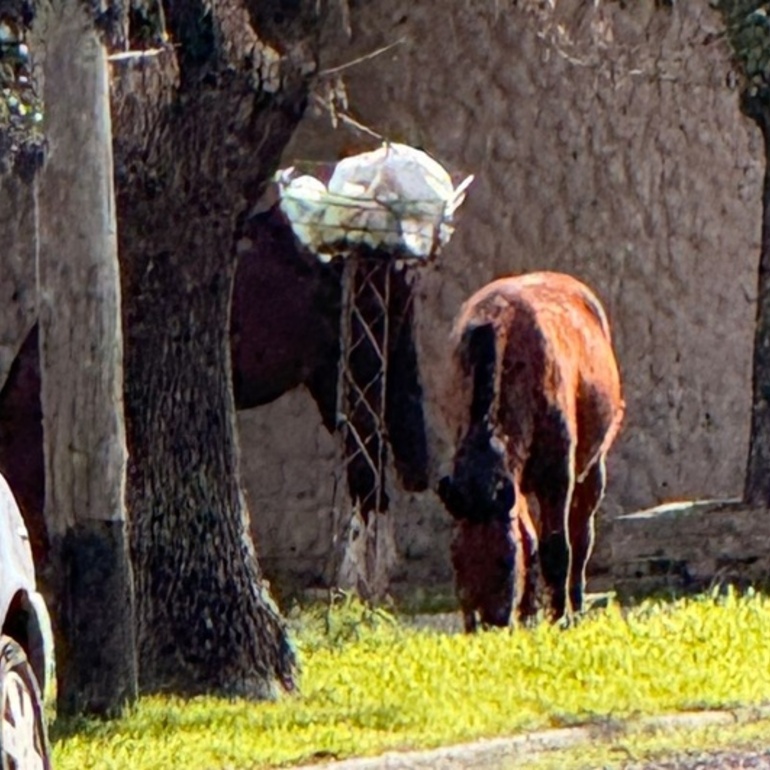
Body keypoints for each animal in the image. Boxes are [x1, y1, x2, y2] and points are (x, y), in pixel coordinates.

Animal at [438, 271, 624, 631]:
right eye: (455, 559)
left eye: (504, 560)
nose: (485, 622)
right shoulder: (512, 483)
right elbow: (530, 539)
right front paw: (530, 615)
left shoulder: (558, 476)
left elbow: (556, 547)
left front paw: (558, 617)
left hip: (593, 468)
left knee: (581, 537)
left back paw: (575, 607)